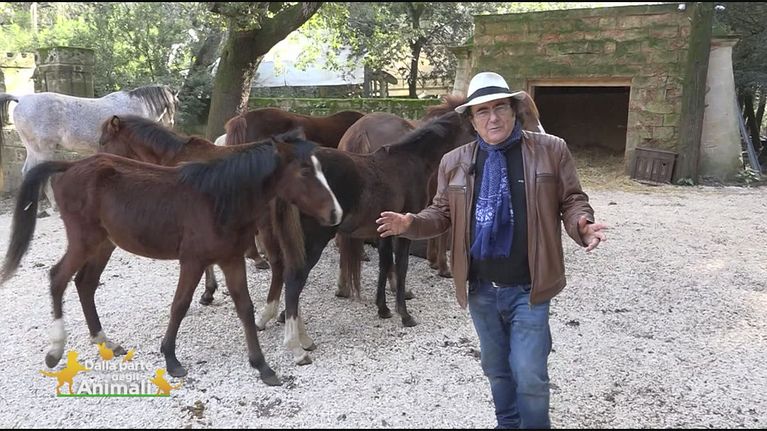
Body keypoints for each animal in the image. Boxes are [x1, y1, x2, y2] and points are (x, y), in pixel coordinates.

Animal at [0, 130, 343, 386]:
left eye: (321, 169)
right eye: (304, 170)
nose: (335, 213)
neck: (219, 198)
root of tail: (68, 166)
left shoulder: (231, 259)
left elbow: (245, 308)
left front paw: (262, 366)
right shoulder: (192, 261)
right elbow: (180, 305)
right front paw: (171, 358)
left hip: (104, 244)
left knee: (85, 283)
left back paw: (105, 341)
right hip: (84, 241)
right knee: (58, 278)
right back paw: (56, 350)